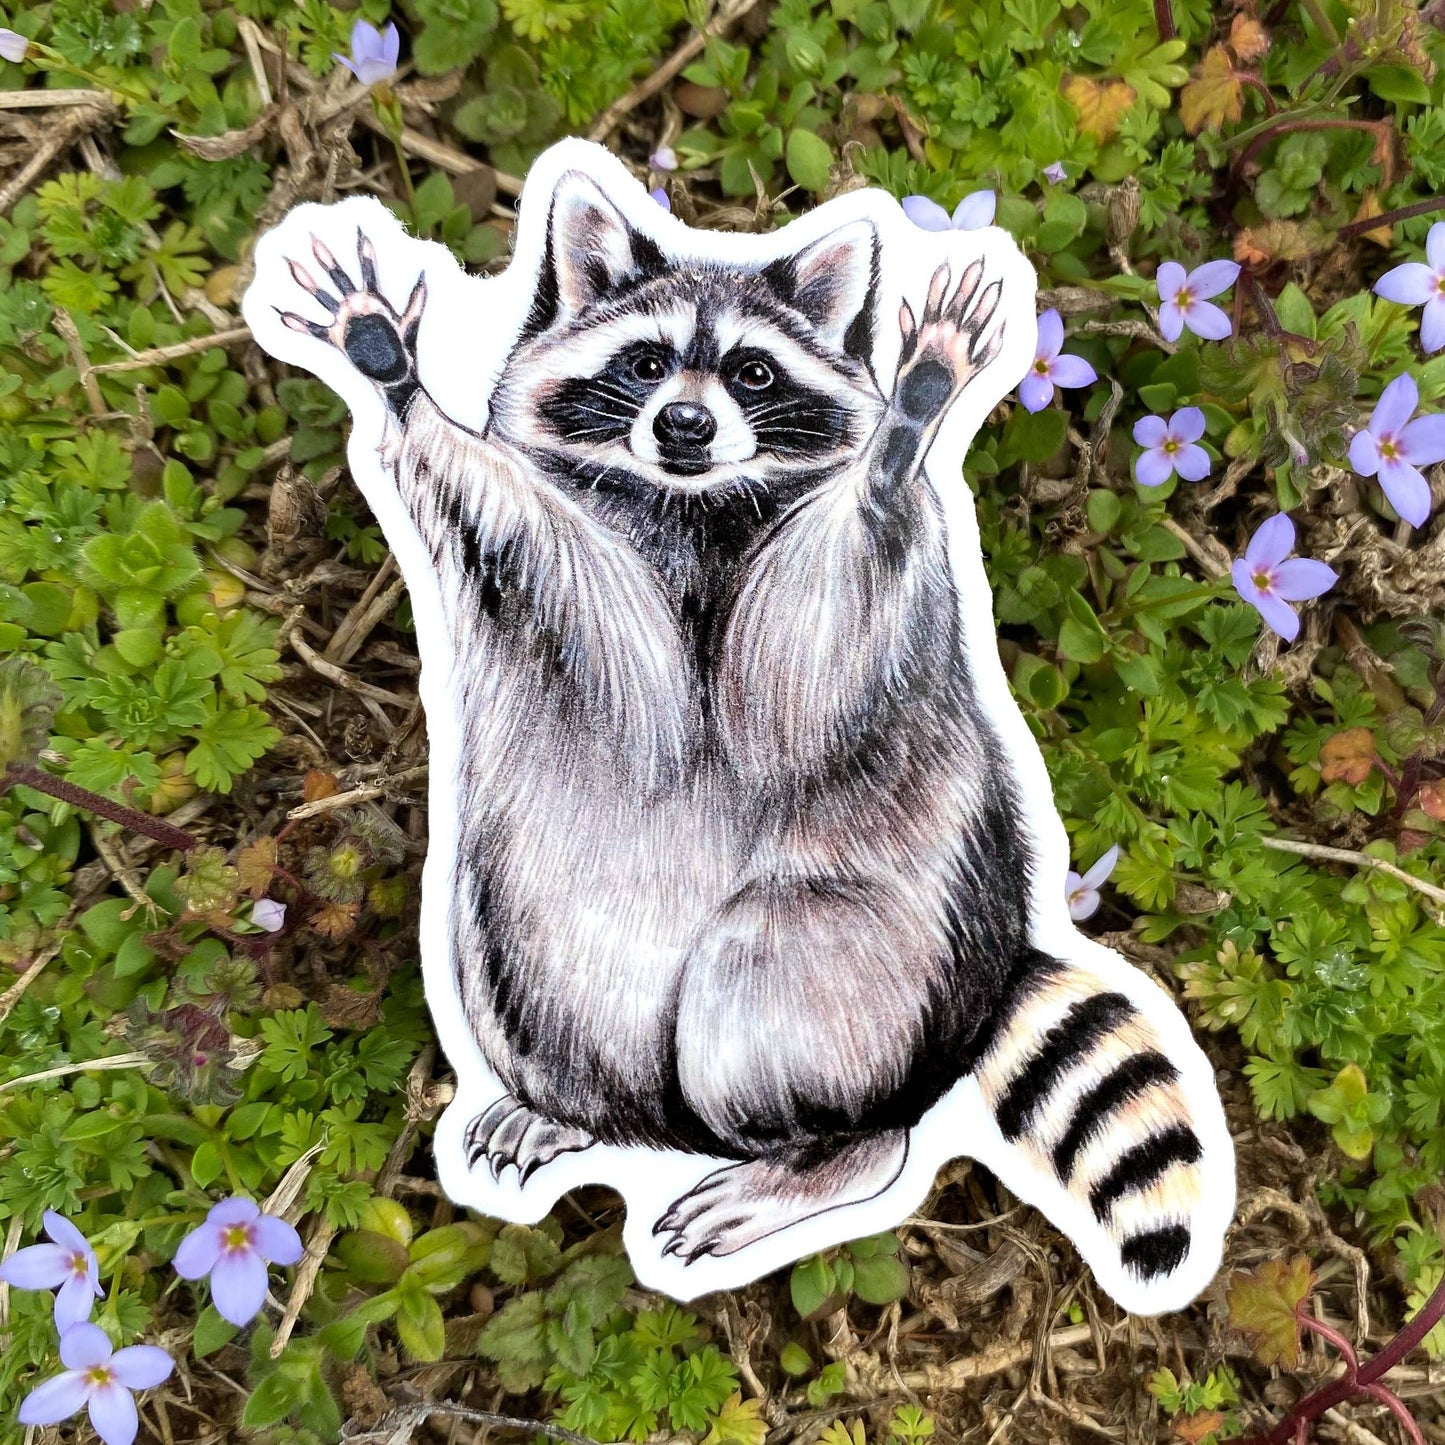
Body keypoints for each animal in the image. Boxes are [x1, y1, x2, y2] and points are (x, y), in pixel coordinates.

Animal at [267, 165, 1229, 1302]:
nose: (683, 425)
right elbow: (536, 553)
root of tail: (979, 978)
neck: (692, 503)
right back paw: (569, 1108)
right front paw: (394, 374)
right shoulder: (564, 566)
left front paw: (903, 433)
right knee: (522, 965)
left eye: (753, 372)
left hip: (874, 954)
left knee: (766, 977)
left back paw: (823, 1151)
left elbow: (801, 666)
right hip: (509, 927)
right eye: (643, 363)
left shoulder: (847, 615)